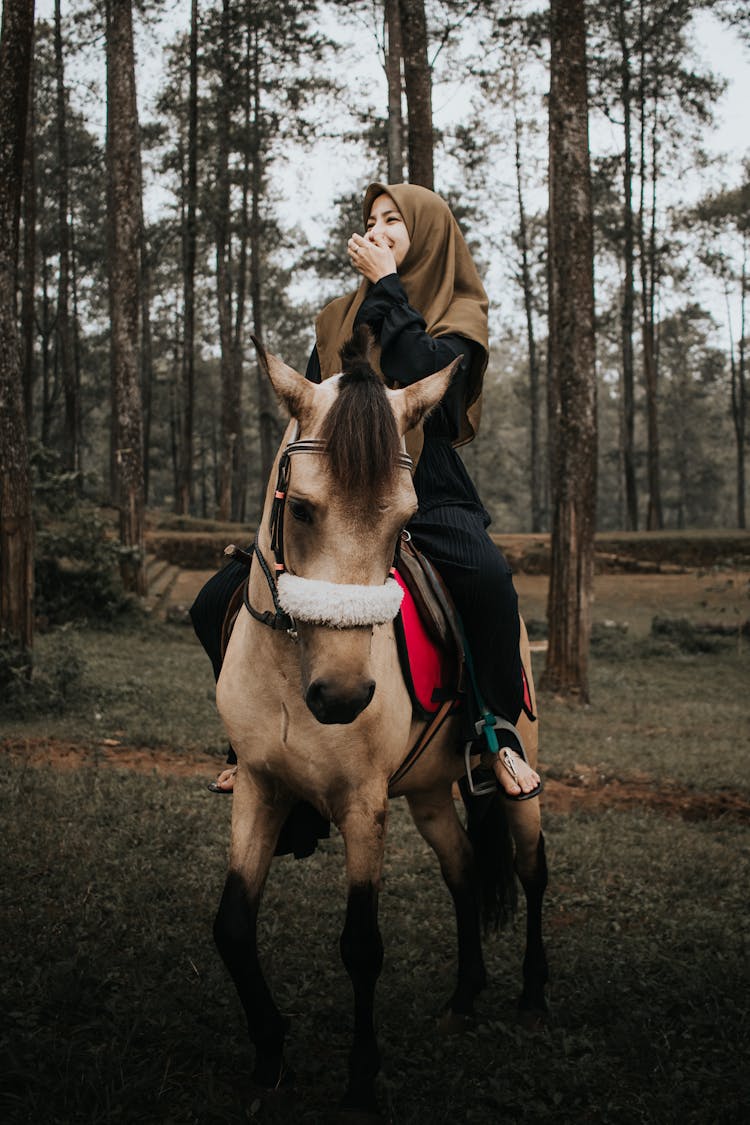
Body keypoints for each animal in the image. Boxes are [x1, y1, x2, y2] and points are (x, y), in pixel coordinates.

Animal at [213, 328, 548, 1120]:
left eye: (402, 523)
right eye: (302, 509)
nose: (341, 696)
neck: (292, 669)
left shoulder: (362, 803)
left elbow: (361, 944)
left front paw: (362, 1079)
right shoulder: (260, 788)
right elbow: (234, 925)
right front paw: (269, 1055)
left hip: (521, 771)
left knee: (532, 869)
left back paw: (532, 996)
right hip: (426, 790)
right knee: (463, 867)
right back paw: (463, 998)